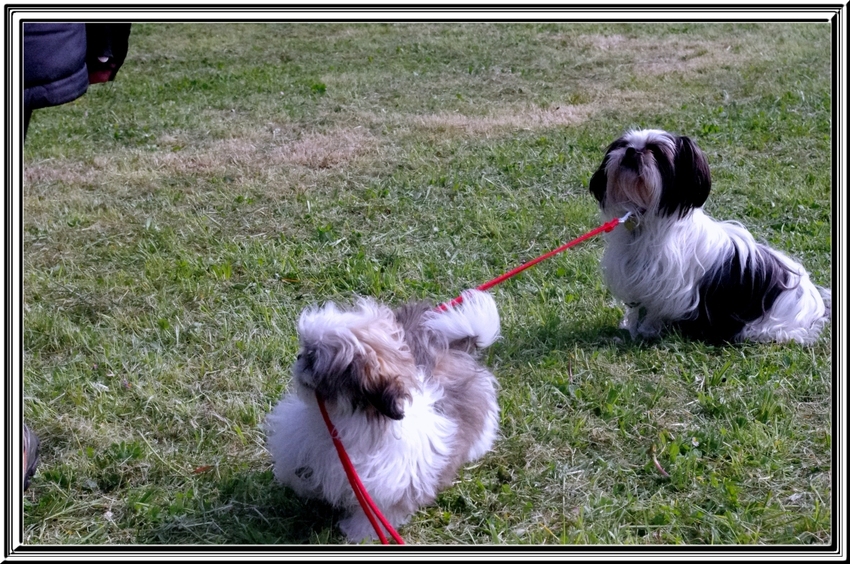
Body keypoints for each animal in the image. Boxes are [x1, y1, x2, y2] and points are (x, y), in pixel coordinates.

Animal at [264, 290, 500, 540]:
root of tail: (454, 349)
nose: (300, 357)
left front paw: (358, 533)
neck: (344, 419)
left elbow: (379, 512)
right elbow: (298, 470)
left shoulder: (388, 484)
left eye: (314, 358)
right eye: (306, 347)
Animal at [588, 129, 828, 346]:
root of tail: (813, 305)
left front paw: (647, 331)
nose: (631, 151)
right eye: (624, 145)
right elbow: (636, 308)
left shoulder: (668, 288)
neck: (642, 222)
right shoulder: (634, 278)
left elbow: (655, 311)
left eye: (655, 151)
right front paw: (630, 328)